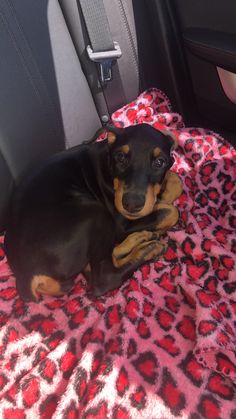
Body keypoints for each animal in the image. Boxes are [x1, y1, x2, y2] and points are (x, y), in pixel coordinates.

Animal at [4, 122, 183, 302]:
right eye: (120, 157)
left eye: (160, 162)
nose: (132, 205)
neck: (107, 166)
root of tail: (27, 275)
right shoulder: (120, 224)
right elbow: (172, 211)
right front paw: (163, 199)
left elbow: (176, 180)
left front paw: (165, 192)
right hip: (97, 212)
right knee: (104, 278)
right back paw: (148, 248)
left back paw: (140, 238)